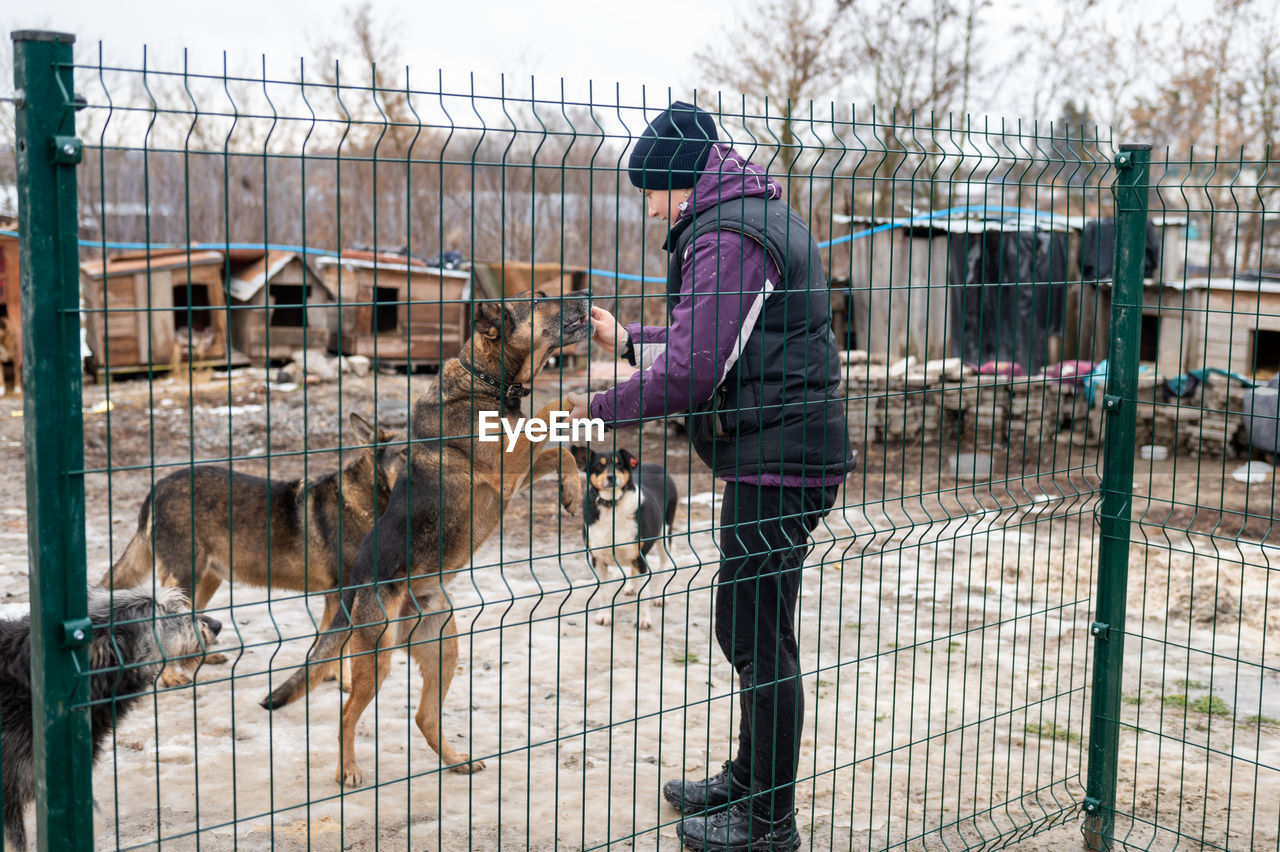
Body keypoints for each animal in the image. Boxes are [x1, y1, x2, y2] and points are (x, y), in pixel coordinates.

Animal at [98, 411, 399, 685]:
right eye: (403, 453)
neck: (364, 502)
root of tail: (158, 486)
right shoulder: (342, 594)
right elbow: (340, 646)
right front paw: (343, 683)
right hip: (185, 577)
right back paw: (172, 676)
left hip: (206, 579)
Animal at [262, 290, 591, 782]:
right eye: (540, 299)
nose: (587, 295)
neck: (484, 381)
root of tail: (355, 592)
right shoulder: (507, 468)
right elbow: (548, 419)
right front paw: (580, 396)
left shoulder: (515, 472)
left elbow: (558, 455)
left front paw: (572, 491)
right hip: (376, 658)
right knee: (347, 714)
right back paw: (348, 770)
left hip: (444, 645)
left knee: (424, 716)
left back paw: (457, 761)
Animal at [565, 445, 675, 629]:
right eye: (599, 466)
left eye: (619, 464)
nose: (612, 476)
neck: (612, 505)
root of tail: (657, 466)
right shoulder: (598, 559)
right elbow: (603, 592)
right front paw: (604, 616)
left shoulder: (640, 558)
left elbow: (643, 594)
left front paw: (643, 619)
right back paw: (631, 586)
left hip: (665, 535)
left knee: (665, 566)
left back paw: (662, 595)